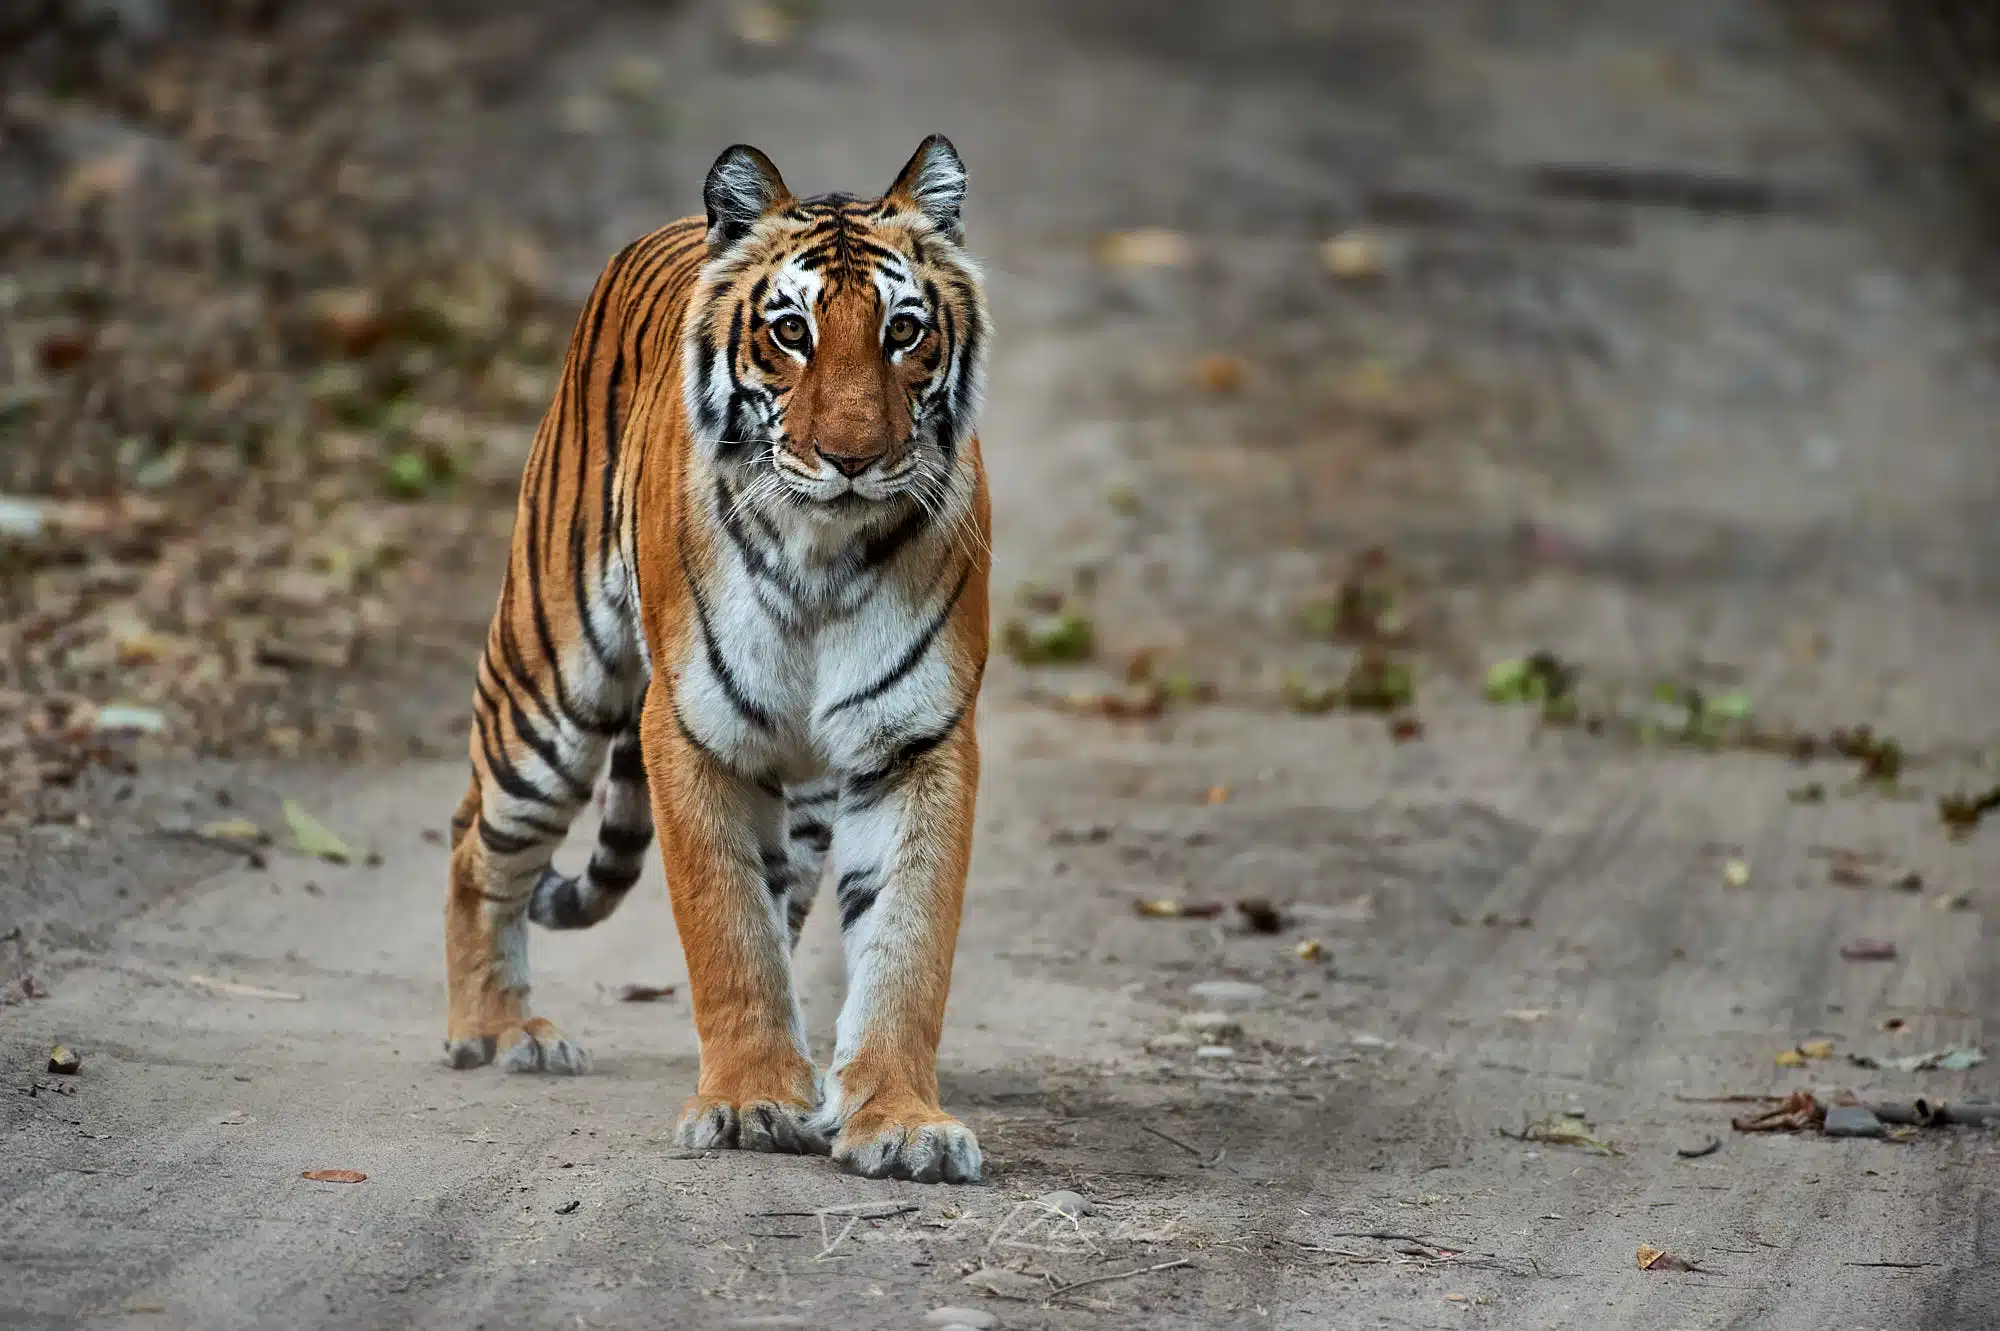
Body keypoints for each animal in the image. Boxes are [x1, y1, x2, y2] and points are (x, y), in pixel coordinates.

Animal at [441, 135, 990, 1184]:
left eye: (904, 332)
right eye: (791, 331)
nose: (852, 459)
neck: (824, 555)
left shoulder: (917, 741)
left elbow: (906, 944)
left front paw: (897, 1118)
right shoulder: (692, 729)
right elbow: (728, 930)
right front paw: (746, 1103)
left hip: (802, 794)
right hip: (548, 687)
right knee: (473, 841)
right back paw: (499, 1030)